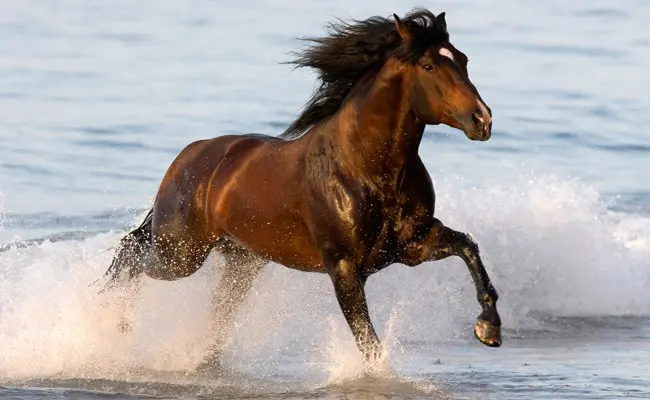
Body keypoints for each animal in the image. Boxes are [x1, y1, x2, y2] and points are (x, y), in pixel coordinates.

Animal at [104, 7, 502, 368]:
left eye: (463, 60)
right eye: (430, 67)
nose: (482, 120)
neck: (366, 169)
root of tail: (188, 156)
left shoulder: (411, 245)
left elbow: (467, 246)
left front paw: (489, 329)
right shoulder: (343, 266)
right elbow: (368, 342)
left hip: (240, 261)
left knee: (213, 306)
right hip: (181, 253)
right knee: (130, 254)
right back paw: (114, 324)